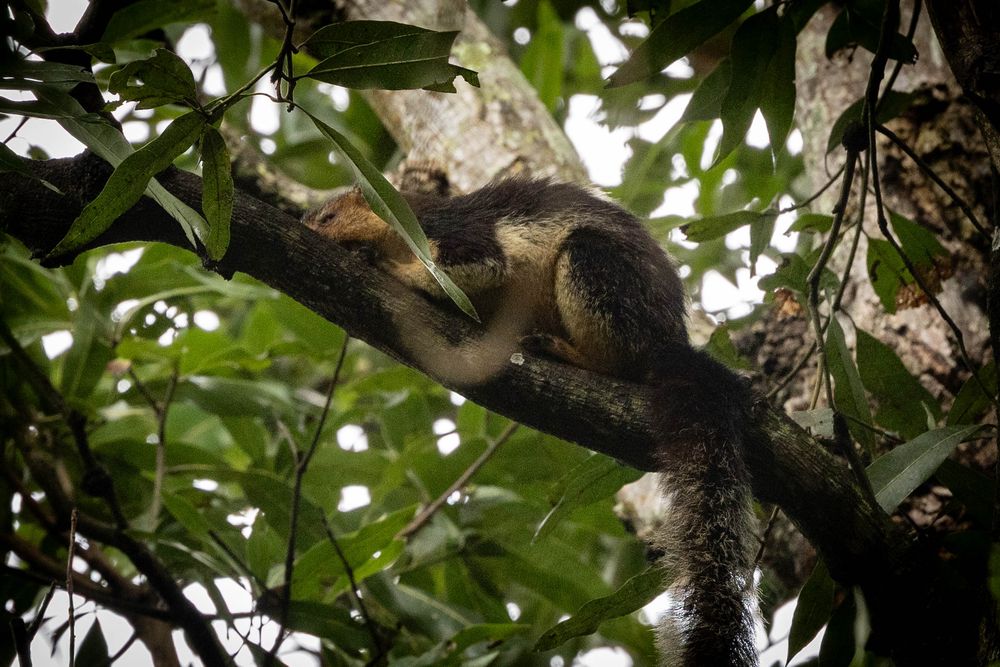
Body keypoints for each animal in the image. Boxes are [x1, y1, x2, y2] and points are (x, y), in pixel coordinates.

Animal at [303, 177, 758, 667]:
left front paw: (386, 266)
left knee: (616, 358)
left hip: (597, 271)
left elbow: (478, 266)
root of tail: (668, 344)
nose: (309, 229)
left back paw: (562, 350)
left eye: (329, 216)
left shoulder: (456, 233)